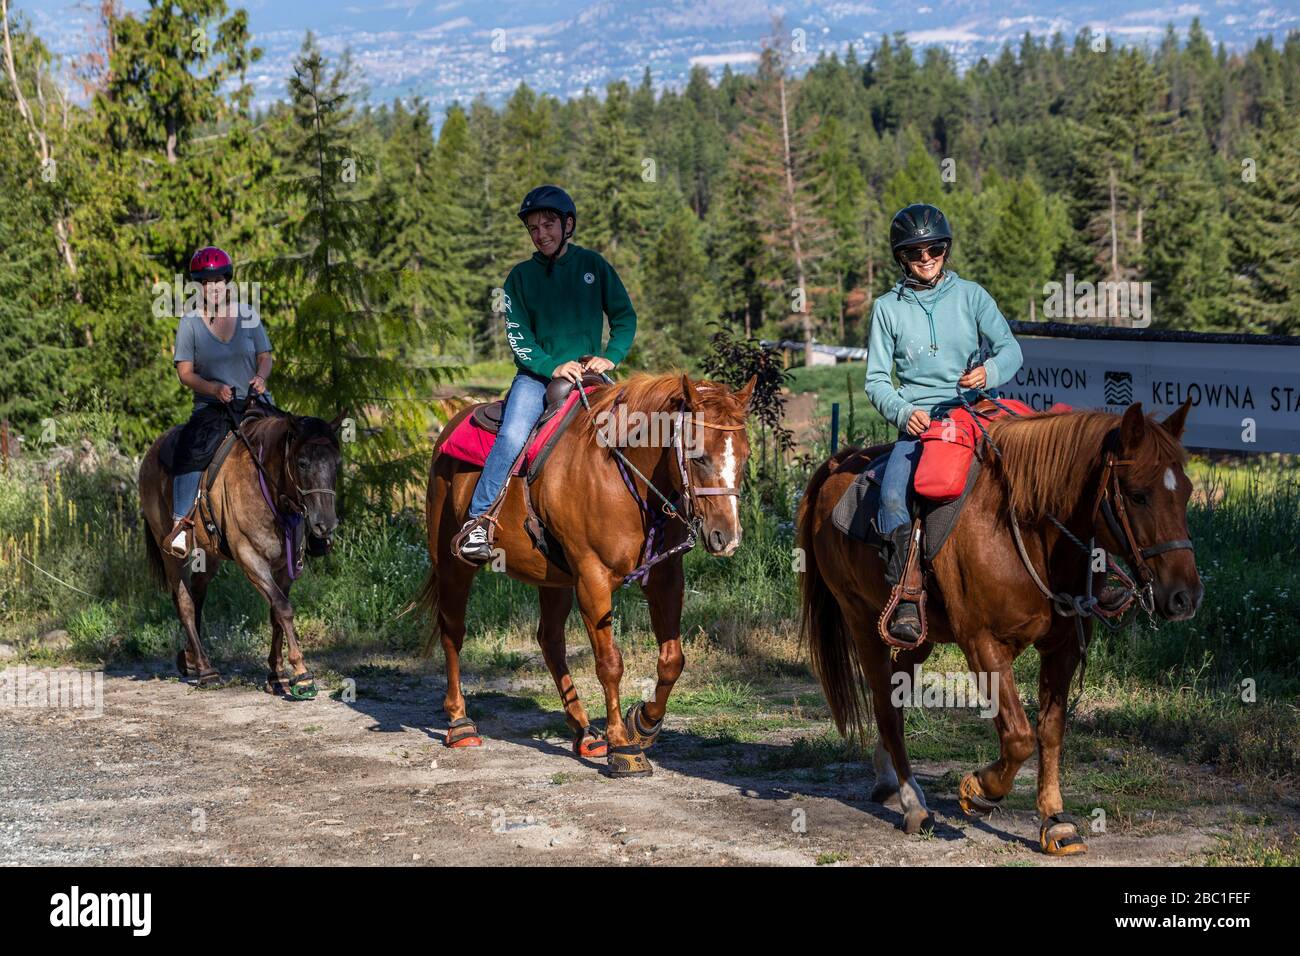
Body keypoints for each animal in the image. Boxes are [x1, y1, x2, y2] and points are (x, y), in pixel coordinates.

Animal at [139, 408, 343, 697]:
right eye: (302, 463)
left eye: (336, 463)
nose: (325, 525)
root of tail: (151, 452)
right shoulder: (251, 560)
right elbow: (283, 608)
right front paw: (301, 674)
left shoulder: (285, 567)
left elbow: (276, 613)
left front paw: (276, 674)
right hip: (170, 553)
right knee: (185, 601)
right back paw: (206, 670)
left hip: (209, 555)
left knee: (197, 593)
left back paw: (190, 657)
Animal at [416, 371, 759, 780]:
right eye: (698, 455)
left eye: (745, 456)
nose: (727, 537)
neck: (622, 475)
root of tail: (449, 427)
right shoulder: (592, 578)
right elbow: (610, 664)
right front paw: (623, 747)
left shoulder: (664, 576)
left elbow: (672, 660)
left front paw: (644, 723)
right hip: (453, 563)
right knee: (453, 631)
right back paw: (460, 723)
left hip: (552, 579)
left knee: (550, 642)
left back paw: (584, 731)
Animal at [795, 400, 1201, 858]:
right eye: (1137, 495)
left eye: (1186, 492)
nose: (1185, 597)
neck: (1023, 530)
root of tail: (839, 464)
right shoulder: (983, 646)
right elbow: (1019, 736)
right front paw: (980, 789)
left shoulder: (1062, 648)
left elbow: (1050, 731)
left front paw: (1056, 822)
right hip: (862, 622)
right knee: (885, 704)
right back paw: (913, 803)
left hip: (917, 637)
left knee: (897, 694)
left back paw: (887, 779)